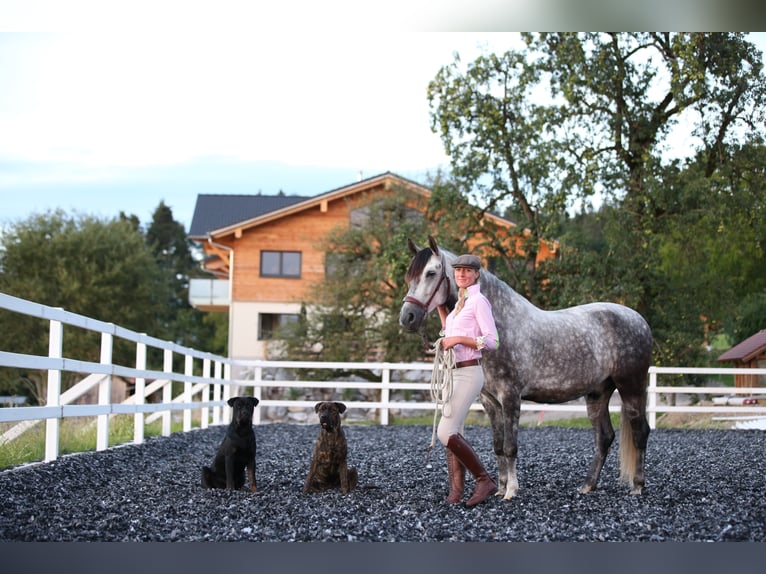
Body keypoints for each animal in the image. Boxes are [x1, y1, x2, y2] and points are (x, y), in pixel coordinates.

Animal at [399, 236, 653, 498]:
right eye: (409, 276)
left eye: (431, 273)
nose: (407, 317)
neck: (500, 324)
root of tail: (639, 320)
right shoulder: (489, 400)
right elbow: (498, 446)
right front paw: (499, 488)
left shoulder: (510, 396)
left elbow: (511, 446)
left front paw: (511, 491)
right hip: (597, 393)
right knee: (604, 437)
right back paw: (587, 485)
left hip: (631, 387)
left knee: (640, 431)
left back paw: (637, 486)